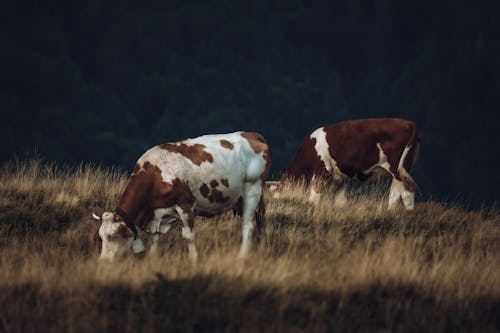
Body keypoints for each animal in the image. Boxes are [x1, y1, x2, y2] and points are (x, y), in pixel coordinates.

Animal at [94, 131, 274, 260]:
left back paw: (242, 256)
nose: (104, 261)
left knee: (248, 226)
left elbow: (188, 236)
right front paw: (152, 258)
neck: (156, 174)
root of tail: (251, 134)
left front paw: (194, 259)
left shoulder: (185, 204)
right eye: (101, 236)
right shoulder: (157, 212)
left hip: (253, 188)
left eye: (113, 236)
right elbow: (155, 237)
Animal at [276, 118, 420, 209]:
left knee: (403, 194)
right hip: (404, 169)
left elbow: (314, 197)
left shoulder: (321, 171)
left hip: (396, 168)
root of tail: (409, 123)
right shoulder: (340, 179)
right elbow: (340, 202)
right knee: (400, 194)